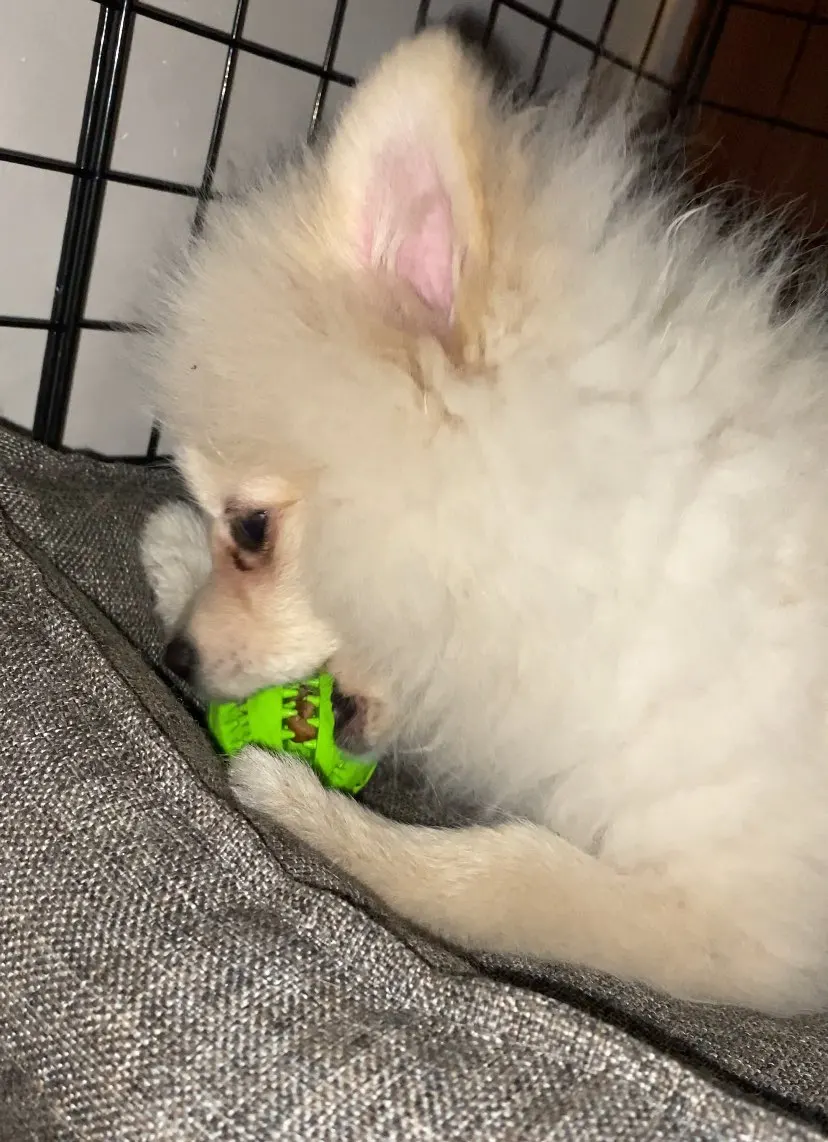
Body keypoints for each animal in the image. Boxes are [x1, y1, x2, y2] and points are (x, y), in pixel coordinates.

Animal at [143, 25, 828, 1015]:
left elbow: (503, 876)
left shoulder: (746, 925)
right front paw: (168, 556)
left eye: (253, 529)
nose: (174, 660)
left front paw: (302, 808)